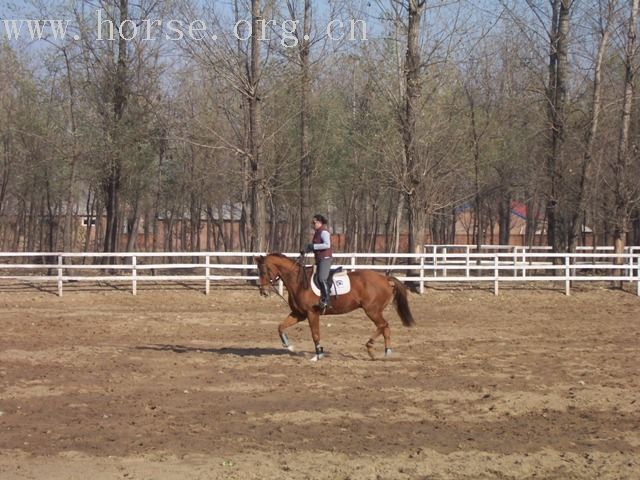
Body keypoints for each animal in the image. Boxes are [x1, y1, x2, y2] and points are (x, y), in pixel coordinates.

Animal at [255, 255, 416, 360]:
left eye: (264, 271)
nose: (263, 292)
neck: (299, 282)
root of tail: (385, 278)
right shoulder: (298, 314)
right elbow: (280, 327)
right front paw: (288, 346)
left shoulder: (312, 313)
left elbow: (315, 334)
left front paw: (318, 354)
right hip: (375, 311)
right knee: (385, 327)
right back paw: (387, 352)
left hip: (372, 310)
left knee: (383, 325)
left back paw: (370, 347)